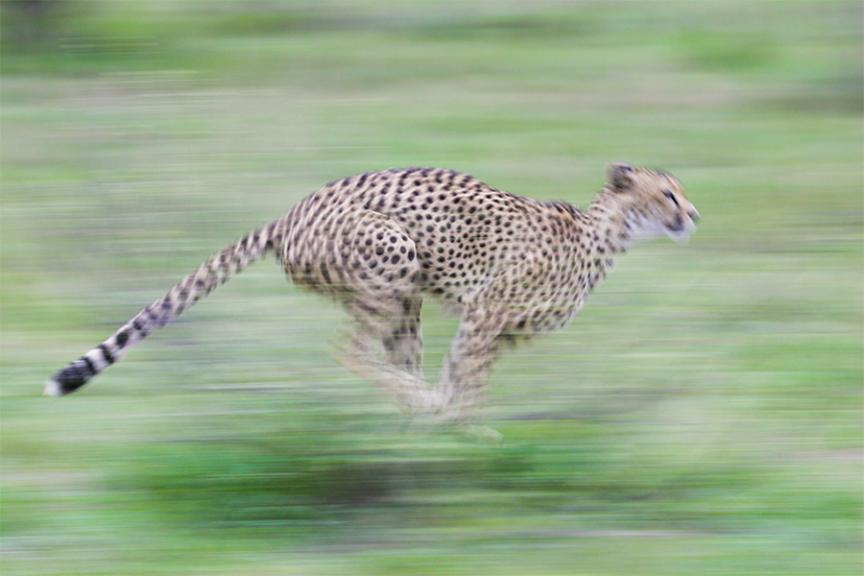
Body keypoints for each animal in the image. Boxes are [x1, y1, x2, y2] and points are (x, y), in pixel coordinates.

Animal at [46, 163, 699, 425]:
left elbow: (462, 374)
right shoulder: (487, 314)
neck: (606, 233)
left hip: (403, 296)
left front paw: (453, 426)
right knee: (350, 350)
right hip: (392, 252)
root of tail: (291, 212)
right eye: (668, 194)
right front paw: (463, 425)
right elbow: (468, 382)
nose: (693, 213)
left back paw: (412, 410)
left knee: (393, 356)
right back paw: (420, 405)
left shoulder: (495, 330)